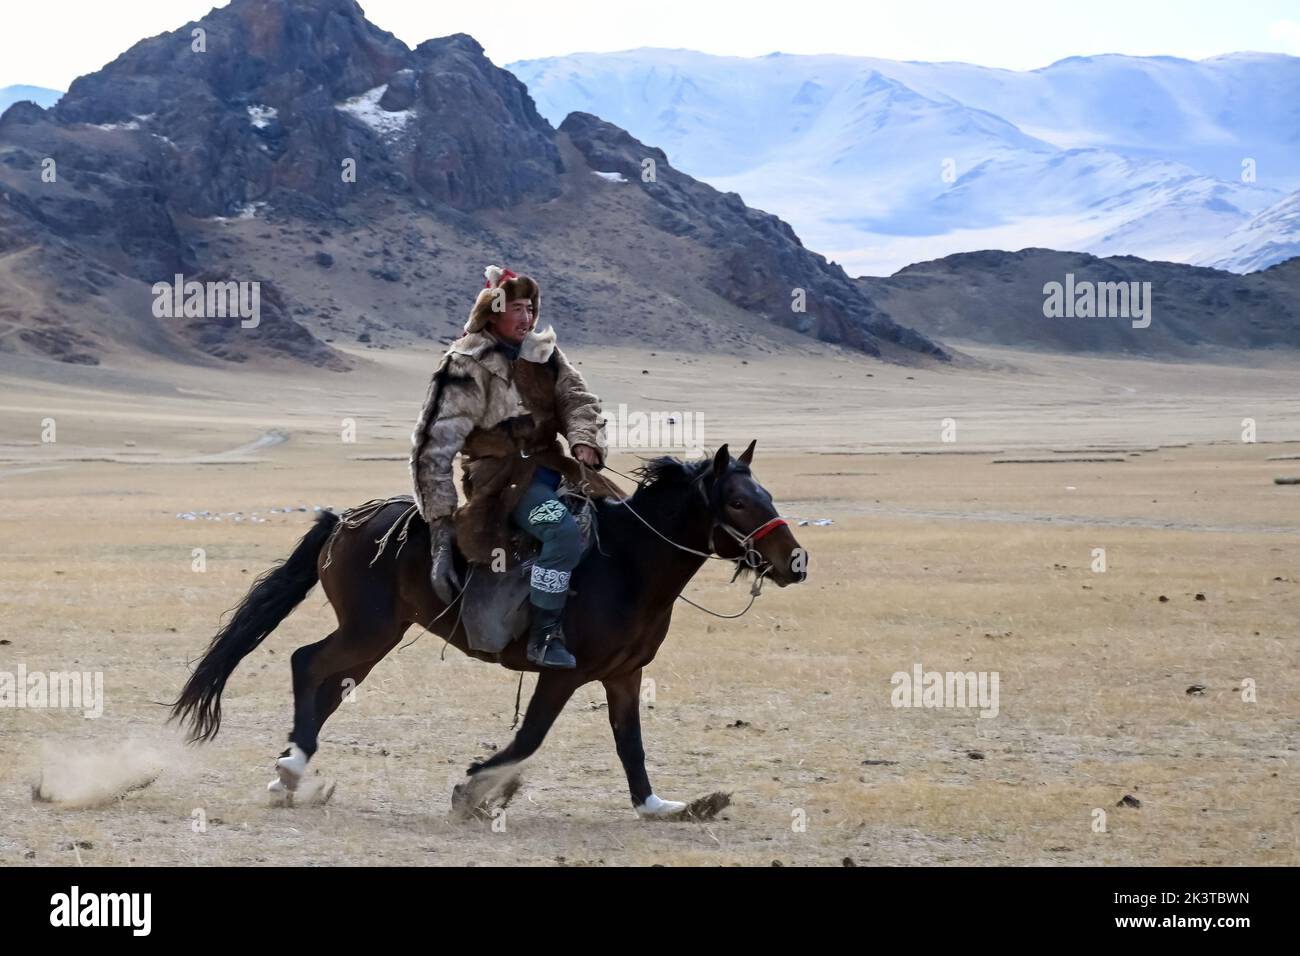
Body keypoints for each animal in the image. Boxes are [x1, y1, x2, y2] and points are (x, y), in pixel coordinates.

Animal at [170, 444, 800, 816]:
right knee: (306, 662)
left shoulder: (623, 675)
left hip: (377, 637)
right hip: (368, 630)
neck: (627, 562)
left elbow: (631, 744)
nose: (797, 560)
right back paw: (292, 767)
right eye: (737, 502)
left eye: (767, 495)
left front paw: (656, 805)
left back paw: (289, 775)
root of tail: (345, 519)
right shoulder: (563, 673)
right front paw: (473, 788)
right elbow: (530, 737)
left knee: (326, 685)